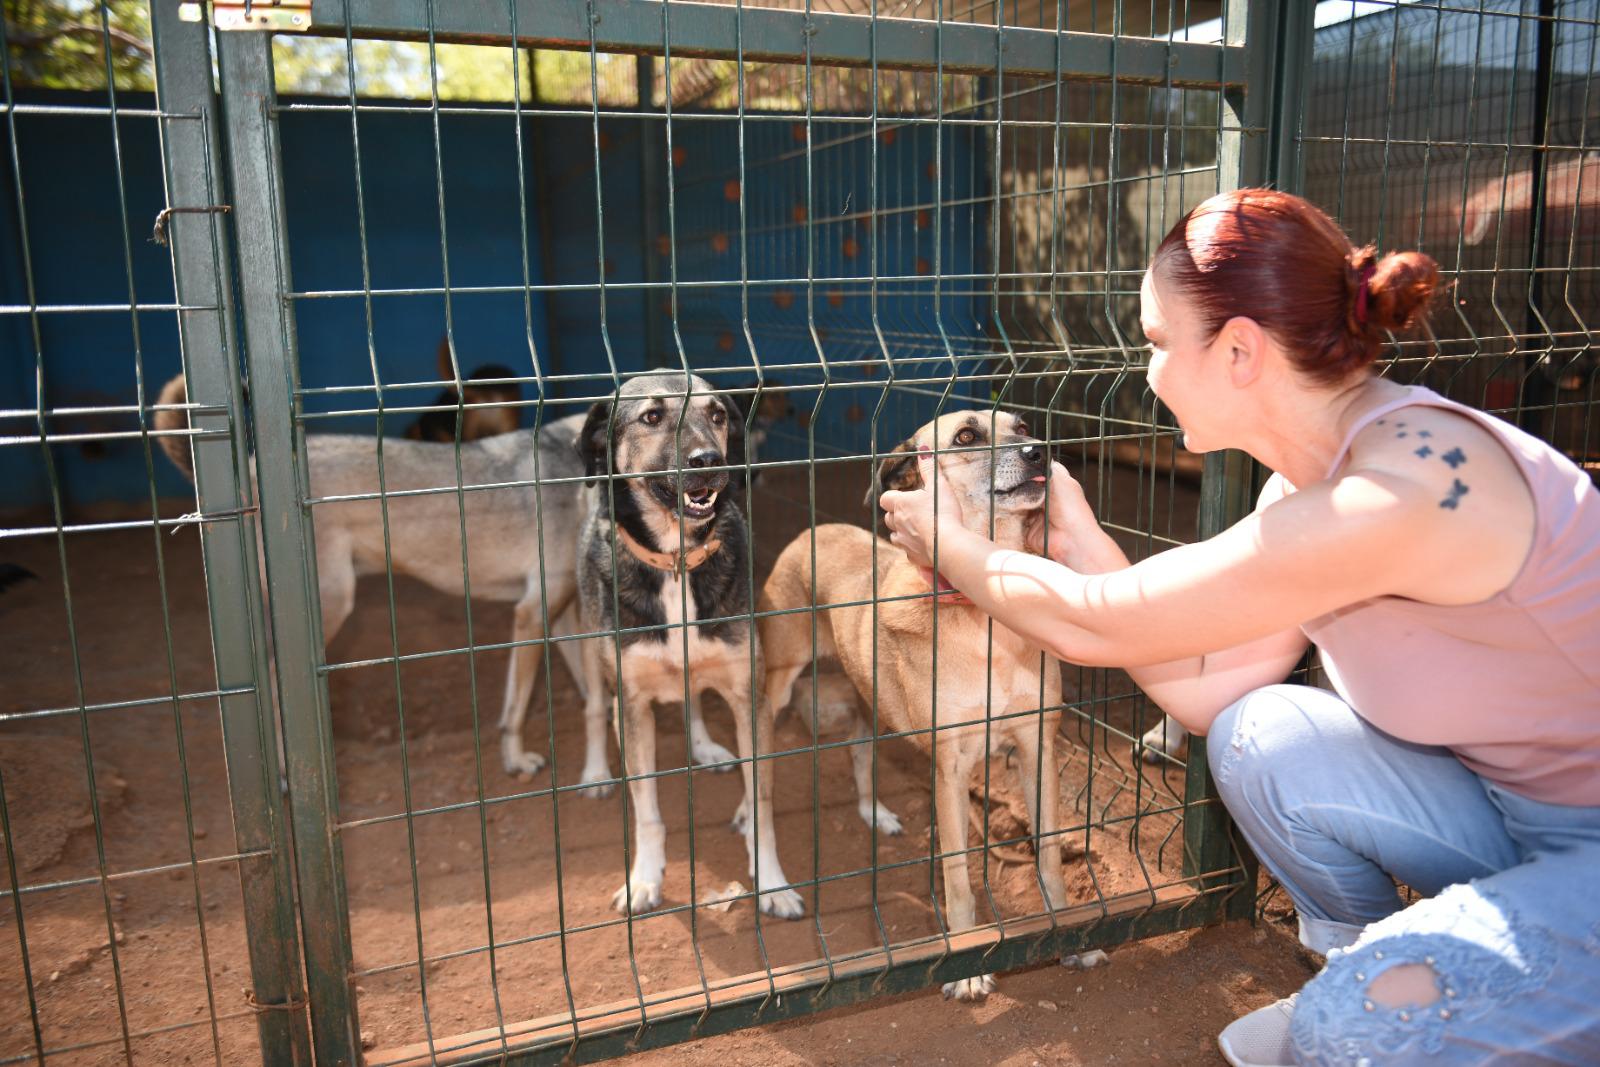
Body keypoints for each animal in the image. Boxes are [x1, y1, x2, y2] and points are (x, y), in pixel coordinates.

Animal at [572, 374, 800, 921]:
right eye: (652, 416)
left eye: (717, 414)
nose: (709, 461)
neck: (676, 558)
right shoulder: (632, 706)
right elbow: (647, 812)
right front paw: (644, 880)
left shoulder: (750, 695)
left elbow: (762, 803)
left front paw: (772, 883)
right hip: (592, 648)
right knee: (593, 708)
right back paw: (595, 772)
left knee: (692, 695)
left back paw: (703, 746)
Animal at [755, 412, 1068, 1004]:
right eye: (966, 437)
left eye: (1022, 426)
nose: (1041, 451)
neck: (982, 616)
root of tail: (813, 531)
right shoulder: (951, 768)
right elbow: (959, 880)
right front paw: (966, 968)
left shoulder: (1036, 745)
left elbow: (1051, 855)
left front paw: (1071, 933)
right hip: (778, 685)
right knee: (757, 770)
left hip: (867, 696)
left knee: (858, 747)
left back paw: (873, 811)